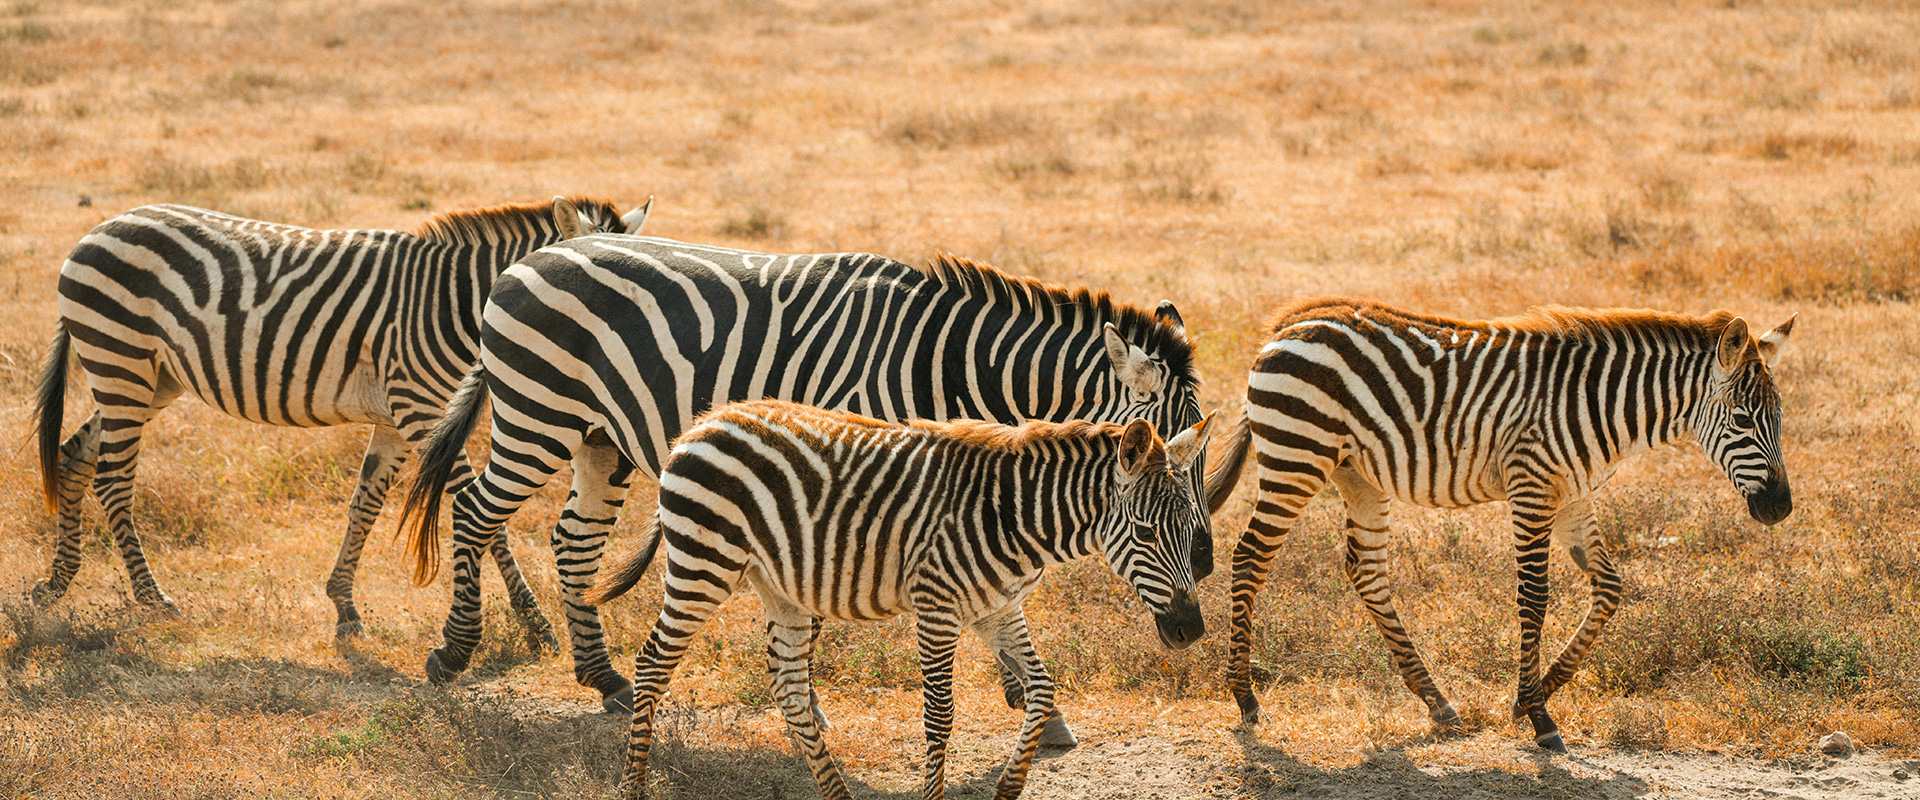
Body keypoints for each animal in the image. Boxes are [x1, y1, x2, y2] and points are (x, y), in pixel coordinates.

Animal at [31, 195, 649, 641]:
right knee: (114, 480)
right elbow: (483, 515)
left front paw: (344, 605)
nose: (624, 368)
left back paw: (55, 585)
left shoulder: (398, 420)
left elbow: (363, 506)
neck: (457, 303)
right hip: (121, 362)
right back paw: (152, 599)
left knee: (74, 455)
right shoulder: (423, 411)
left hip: (151, 377)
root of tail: (102, 226)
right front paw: (533, 620)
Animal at [394, 238, 1239, 740]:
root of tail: (541, 250)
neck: (947, 369)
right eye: (1166, 452)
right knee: (474, 513)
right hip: (537, 414)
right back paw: (453, 653)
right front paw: (811, 702)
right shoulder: (855, 467)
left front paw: (1041, 707)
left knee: (573, 540)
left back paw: (603, 678)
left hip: (600, 438)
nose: (1202, 565)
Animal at [578, 400, 1214, 800]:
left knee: (787, 686)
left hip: (779, 585)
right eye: (1146, 533)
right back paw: (632, 786)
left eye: (1191, 529)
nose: (1192, 632)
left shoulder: (998, 609)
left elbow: (1041, 689)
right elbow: (940, 715)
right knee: (653, 663)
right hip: (703, 564)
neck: (1015, 518)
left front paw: (1008, 788)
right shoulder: (936, 607)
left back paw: (836, 793)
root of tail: (703, 424)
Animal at [1207, 296, 1795, 752]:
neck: (1603, 405)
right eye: (1742, 420)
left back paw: (1436, 701)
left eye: (1781, 418)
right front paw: (1539, 716)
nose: (1781, 509)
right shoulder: (1532, 485)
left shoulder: (1574, 496)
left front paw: (1534, 693)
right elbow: (1534, 597)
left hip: (1357, 473)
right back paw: (1246, 699)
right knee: (1249, 556)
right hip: (1296, 455)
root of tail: (1291, 321)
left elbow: (1609, 589)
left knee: (1366, 570)